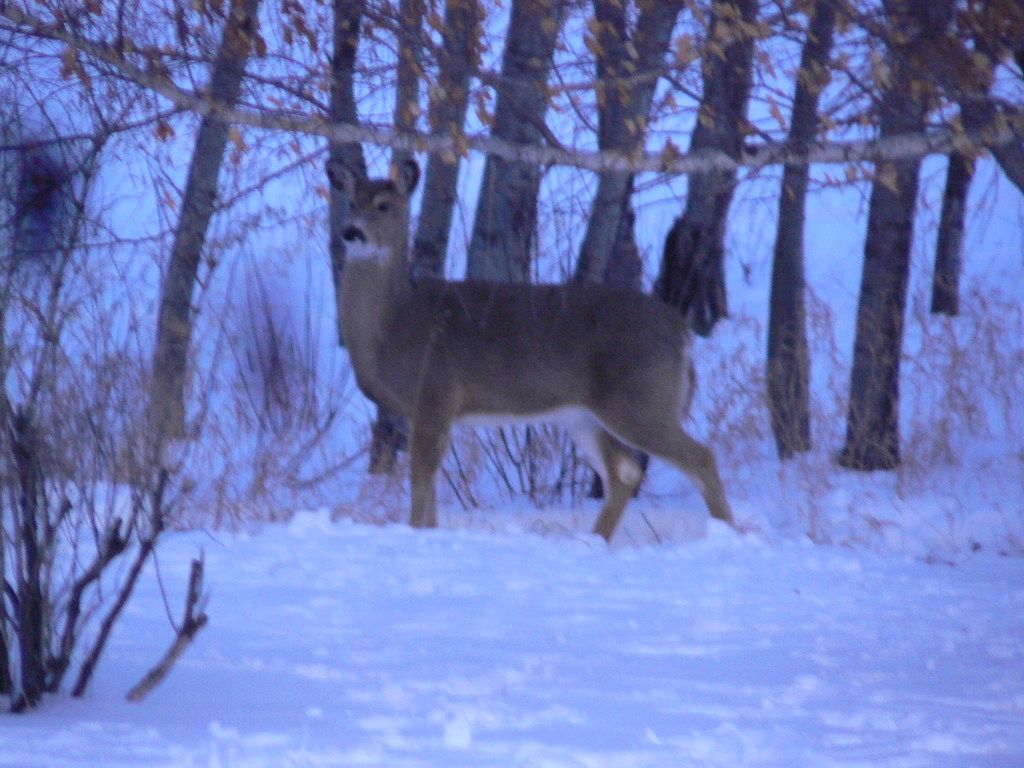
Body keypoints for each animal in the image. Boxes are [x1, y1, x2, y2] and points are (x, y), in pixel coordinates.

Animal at [326, 158, 734, 541]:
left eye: (383, 205)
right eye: (351, 201)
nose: (351, 232)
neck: (393, 324)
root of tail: (682, 332)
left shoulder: (436, 395)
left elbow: (420, 483)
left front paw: (414, 533)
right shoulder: (424, 411)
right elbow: (430, 490)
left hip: (642, 401)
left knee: (701, 458)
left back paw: (728, 533)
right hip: (584, 415)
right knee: (625, 472)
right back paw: (593, 542)